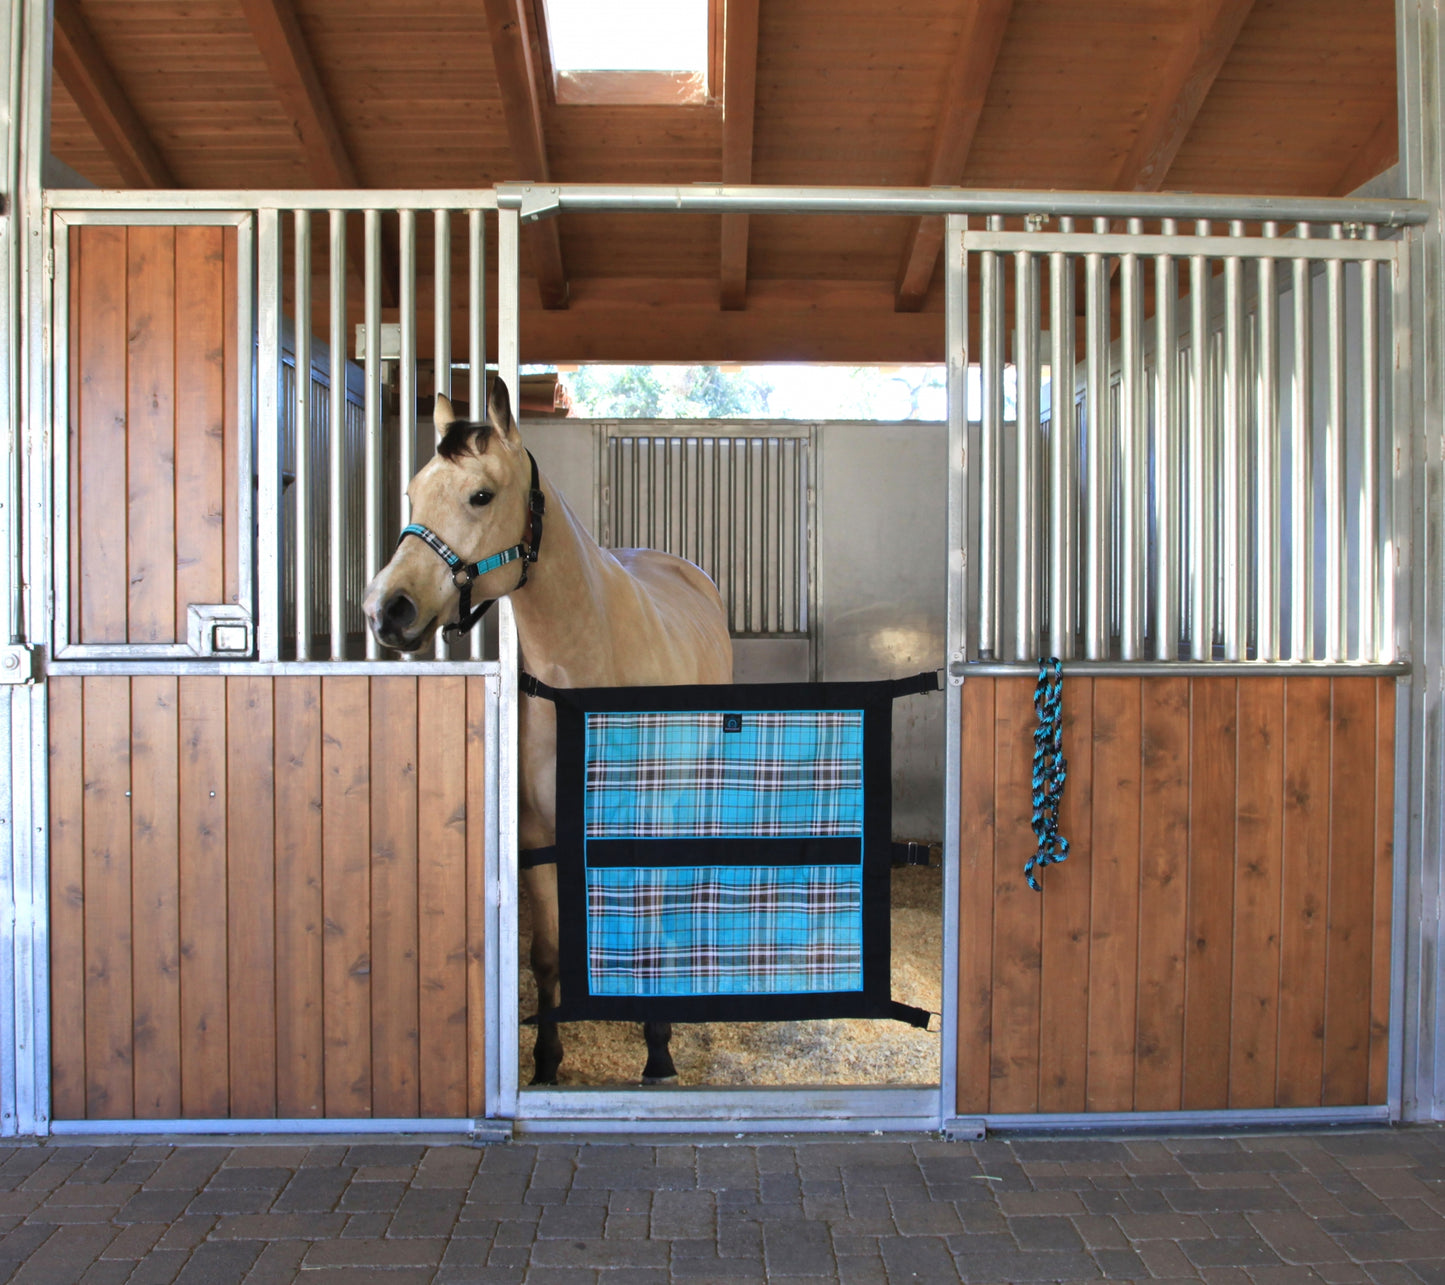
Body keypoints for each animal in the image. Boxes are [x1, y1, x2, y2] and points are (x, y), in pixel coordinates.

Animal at [361, 378, 734, 1081]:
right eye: (413, 493)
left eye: (481, 495)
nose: (385, 610)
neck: (585, 670)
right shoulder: (539, 832)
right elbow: (549, 953)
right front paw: (545, 1060)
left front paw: (658, 1052)